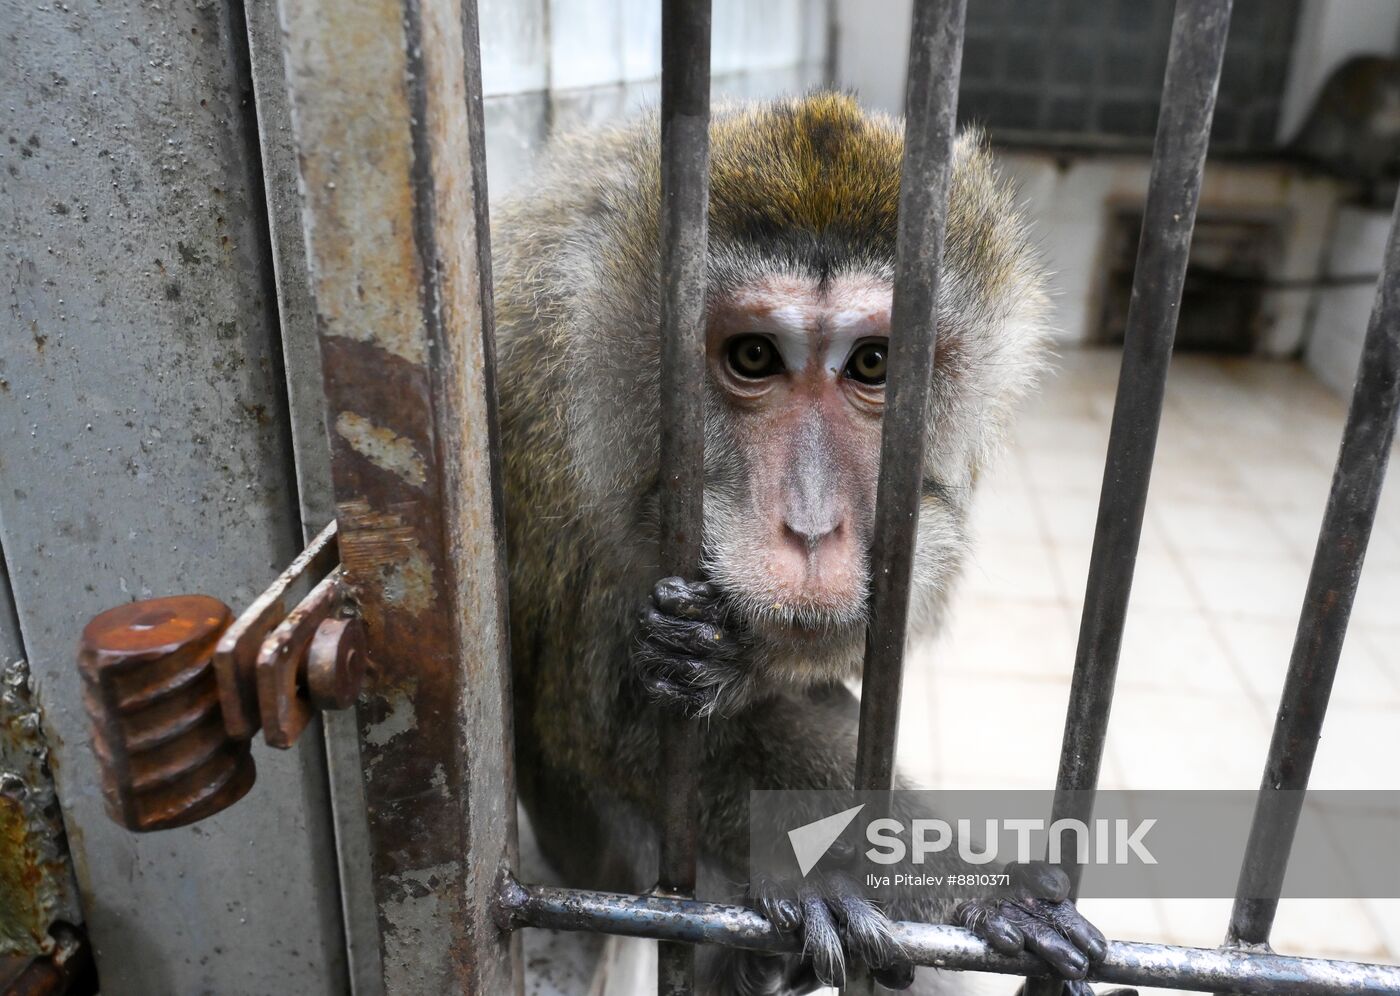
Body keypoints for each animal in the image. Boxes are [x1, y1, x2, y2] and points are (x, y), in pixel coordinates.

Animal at [492, 89, 1125, 991]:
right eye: (755, 355)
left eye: (874, 364)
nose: (814, 526)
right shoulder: (545, 428)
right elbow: (606, 720)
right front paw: (969, 889)